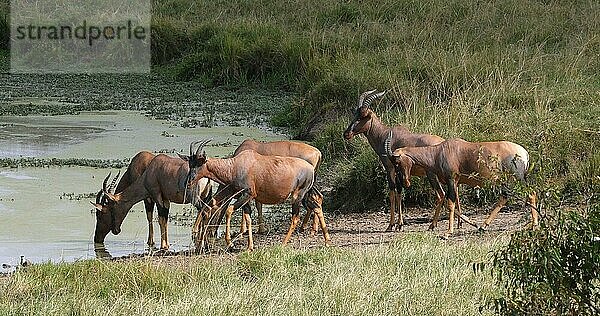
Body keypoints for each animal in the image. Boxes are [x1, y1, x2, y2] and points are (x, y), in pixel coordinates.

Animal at [184, 139, 330, 251]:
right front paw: (250, 246)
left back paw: (284, 243)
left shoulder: (247, 194)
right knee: (317, 205)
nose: (188, 182)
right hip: (306, 194)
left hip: (297, 195)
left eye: (198, 163)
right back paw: (326, 240)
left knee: (296, 217)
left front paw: (231, 243)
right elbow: (248, 217)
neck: (235, 165)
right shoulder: (246, 197)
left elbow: (230, 210)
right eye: (190, 163)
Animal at [342, 89, 446, 230]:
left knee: (441, 194)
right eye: (355, 114)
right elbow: (399, 193)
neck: (385, 134)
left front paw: (391, 225)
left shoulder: (390, 168)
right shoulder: (399, 171)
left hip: (432, 175)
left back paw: (432, 225)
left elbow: (392, 193)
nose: (346, 134)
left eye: (362, 117)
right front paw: (399, 224)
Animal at [386, 131, 540, 237]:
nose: (405, 183)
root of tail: (525, 153)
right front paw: (473, 224)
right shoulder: (453, 183)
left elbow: (450, 203)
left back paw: (534, 225)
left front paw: (448, 232)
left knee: (530, 193)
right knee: (505, 196)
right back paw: (484, 225)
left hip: (518, 178)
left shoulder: (452, 180)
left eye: (397, 162)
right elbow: (450, 202)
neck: (440, 151)